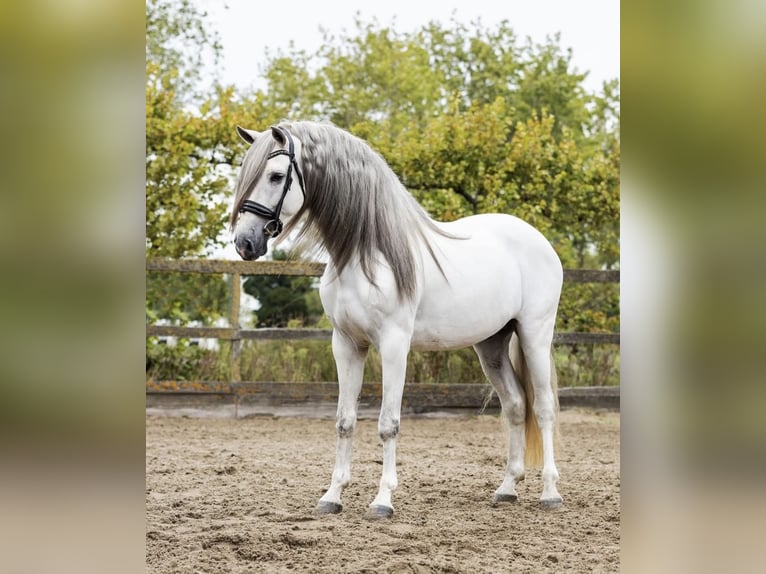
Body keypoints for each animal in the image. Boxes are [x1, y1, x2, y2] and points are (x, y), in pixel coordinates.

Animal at [230, 121, 563, 518]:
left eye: (277, 175)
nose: (244, 243)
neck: (366, 253)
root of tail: (538, 240)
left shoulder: (393, 345)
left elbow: (388, 424)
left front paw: (382, 500)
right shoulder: (346, 344)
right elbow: (345, 421)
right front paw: (332, 496)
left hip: (534, 335)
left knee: (543, 408)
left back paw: (550, 493)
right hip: (491, 345)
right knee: (515, 405)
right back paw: (507, 487)